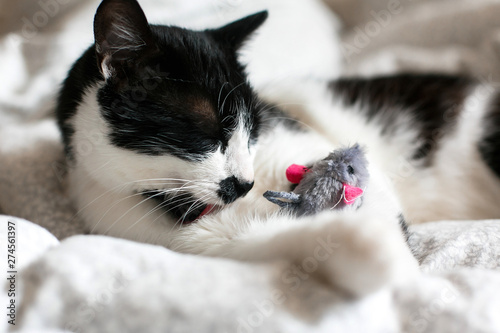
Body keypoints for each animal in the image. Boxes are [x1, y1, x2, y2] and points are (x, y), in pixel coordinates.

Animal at [54, 0, 500, 296]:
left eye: (251, 128)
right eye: (204, 133)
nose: (244, 184)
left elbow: (371, 195)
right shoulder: (196, 239)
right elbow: (289, 238)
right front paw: (381, 260)